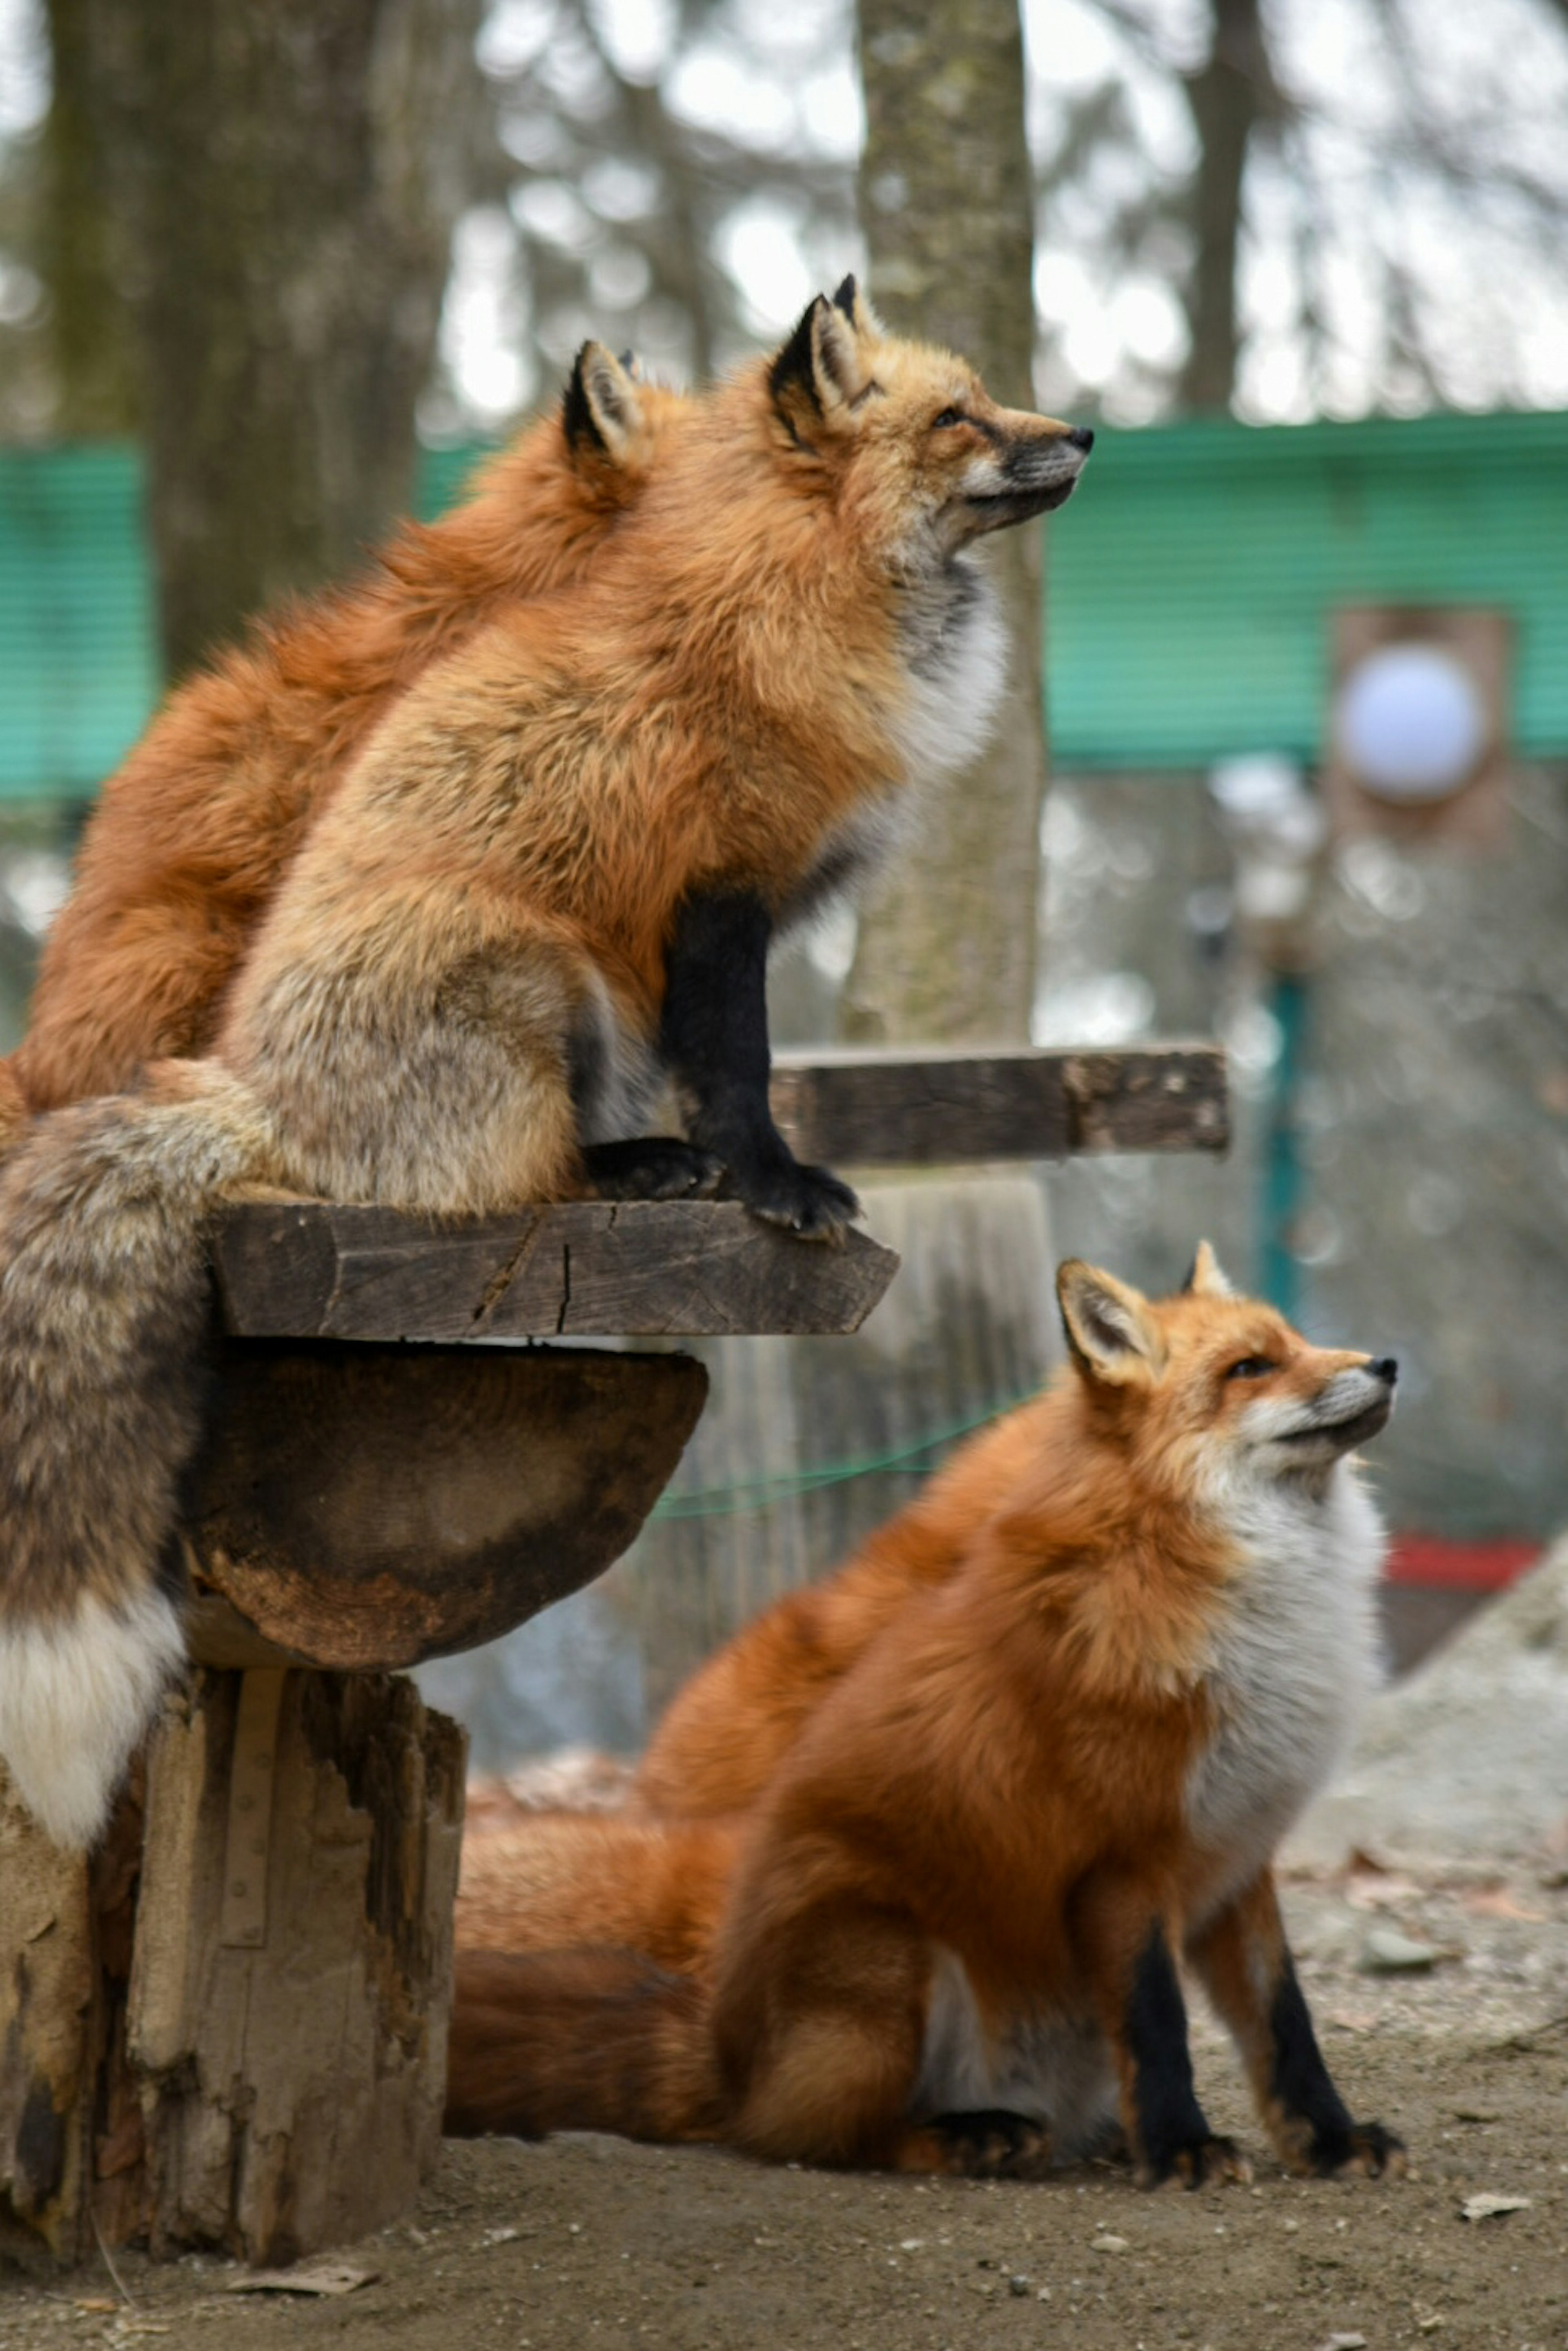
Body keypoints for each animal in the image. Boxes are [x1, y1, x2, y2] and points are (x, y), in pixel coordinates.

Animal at [444, 1260, 1410, 2191]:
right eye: (1250, 1368)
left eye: (1297, 1340)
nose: (1388, 1363)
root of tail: (720, 2049)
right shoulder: (1123, 1861)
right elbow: (1159, 2024)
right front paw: (1181, 2150)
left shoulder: (1241, 1852)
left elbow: (1285, 2026)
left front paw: (1330, 2142)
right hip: (888, 1956)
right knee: (813, 2137)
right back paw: (971, 2136)